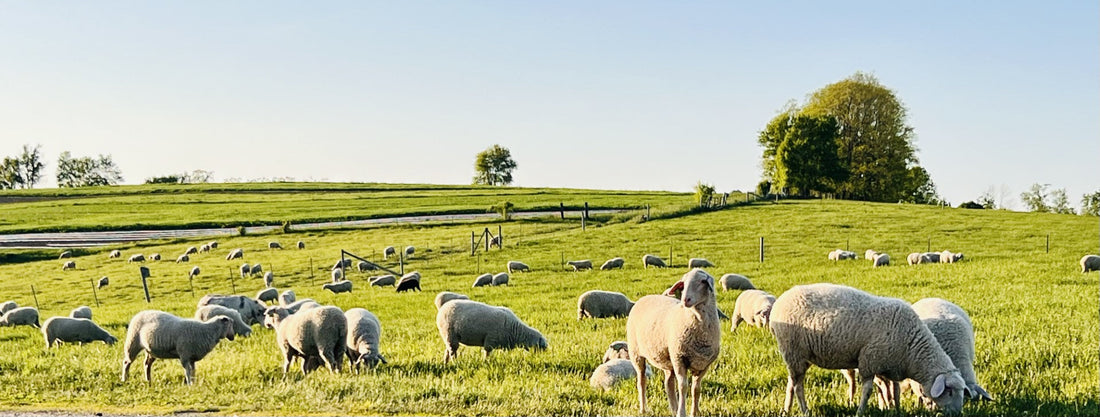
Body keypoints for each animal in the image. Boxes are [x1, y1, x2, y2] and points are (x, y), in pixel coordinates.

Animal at [626, 268, 722, 417]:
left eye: (702, 281)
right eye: (683, 284)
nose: (685, 300)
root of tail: (644, 298)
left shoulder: (703, 364)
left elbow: (696, 389)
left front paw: (695, 412)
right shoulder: (679, 358)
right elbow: (683, 387)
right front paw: (682, 413)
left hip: (667, 359)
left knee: (668, 383)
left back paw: (673, 408)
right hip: (636, 353)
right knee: (641, 381)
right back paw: (643, 409)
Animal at [769, 283, 968, 416]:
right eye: (950, 391)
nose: (957, 414)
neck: (912, 348)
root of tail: (779, 304)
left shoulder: (891, 363)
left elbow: (894, 390)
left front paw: (896, 409)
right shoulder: (869, 361)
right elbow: (868, 391)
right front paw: (860, 411)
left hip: (797, 357)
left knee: (791, 382)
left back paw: (786, 409)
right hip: (794, 350)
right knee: (798, 386)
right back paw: (805, 410)